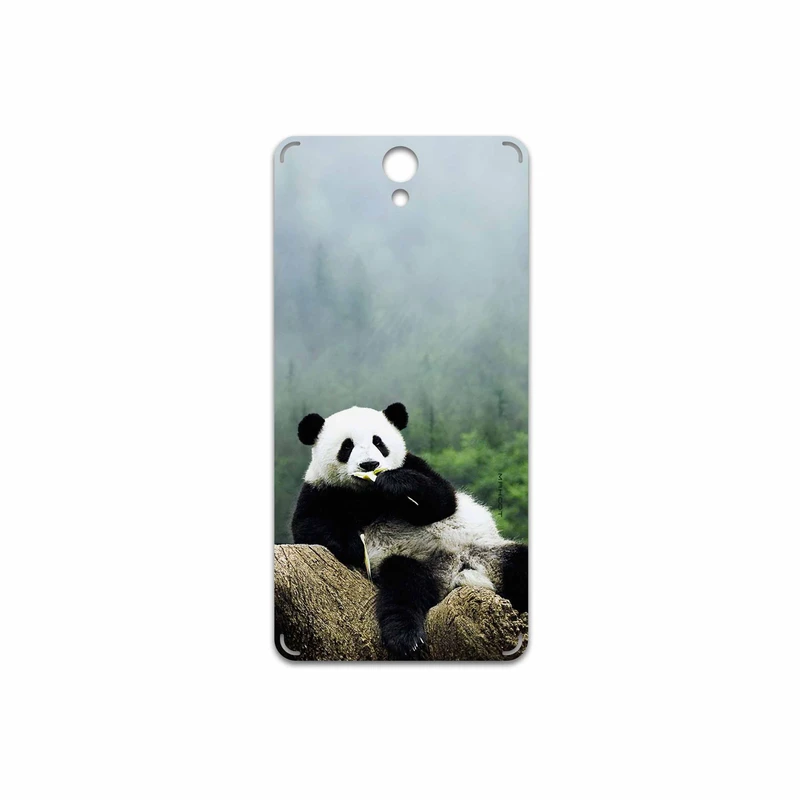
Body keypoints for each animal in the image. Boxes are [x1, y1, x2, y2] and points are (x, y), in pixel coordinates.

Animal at [291, 402, 528, 659]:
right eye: (347, 446)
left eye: (378, 442)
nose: (369, 465)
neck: (367, 494)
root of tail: (457, 572)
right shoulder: (320, 489)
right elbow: (308, 525)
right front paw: (354, 545)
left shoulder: (413, 464)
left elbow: (442, 500)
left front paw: (395, 483)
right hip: (413, 563)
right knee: (404, 588)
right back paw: (406, 637)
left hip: (488, 551)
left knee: (519, 563)